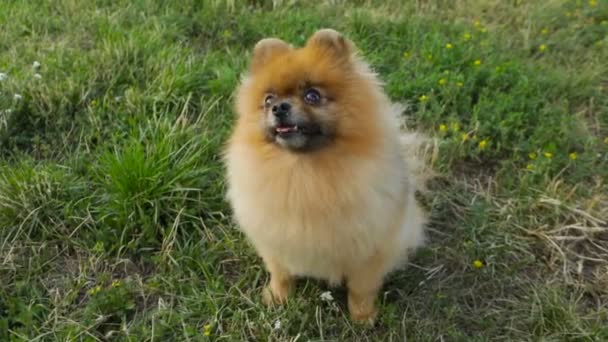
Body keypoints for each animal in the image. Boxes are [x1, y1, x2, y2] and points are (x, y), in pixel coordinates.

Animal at [223, 29, 428, 324]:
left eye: (312, 96)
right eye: (268, 100)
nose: (279, 108)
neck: (303, 172)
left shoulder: (370, 249)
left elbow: (360, 288)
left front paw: (363, 316)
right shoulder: (273, 239)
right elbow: (280, 273)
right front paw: (277, 298)